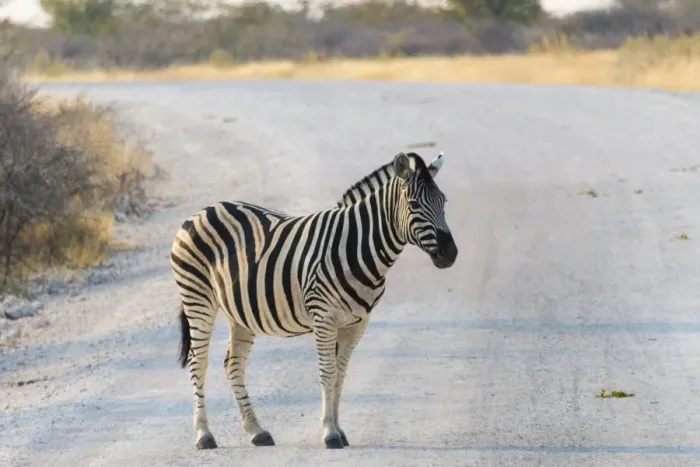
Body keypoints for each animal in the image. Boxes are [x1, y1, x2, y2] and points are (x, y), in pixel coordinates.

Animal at [170, 150, 458, 450]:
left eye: (444, 202)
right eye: (414, 205)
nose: (450, 253)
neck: (358, 248)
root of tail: (203, 210)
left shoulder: (356, 323)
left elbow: (340, 376)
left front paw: (340, 430)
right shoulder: (324, 318)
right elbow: (327, 373)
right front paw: (330, 432)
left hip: (239, 312)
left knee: (233, 365)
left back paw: (256, 431)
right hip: (198, 299)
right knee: (198, 362)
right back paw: (204, 435)